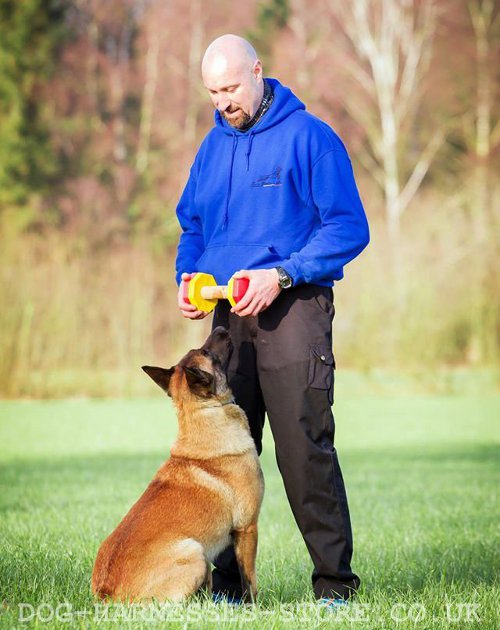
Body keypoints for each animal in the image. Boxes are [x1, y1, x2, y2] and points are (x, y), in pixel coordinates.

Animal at [93, 328, 266, 604]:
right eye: (206, 352)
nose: (221, 329)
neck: (201, 414)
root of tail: (106, 596)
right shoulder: (247, 528)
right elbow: (249, 581)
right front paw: (255, 608)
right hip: (196, 551)